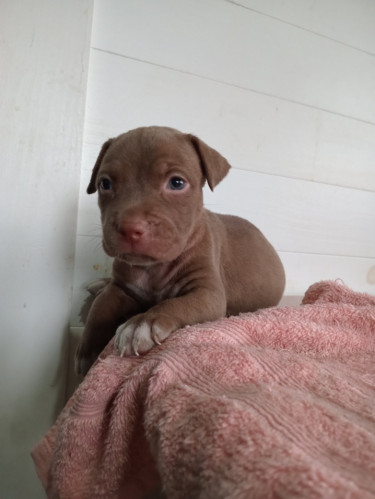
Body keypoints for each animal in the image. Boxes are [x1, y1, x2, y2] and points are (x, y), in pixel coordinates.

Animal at [75, 126, 286, 376]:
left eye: (176, 183)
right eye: (105, 184)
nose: (130, 228)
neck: (153, 268)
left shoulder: (207, 293)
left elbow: (177, 303)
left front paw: (142, 323)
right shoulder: (121, 286)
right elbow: (100, 307)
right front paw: (87, 353)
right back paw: (100, 282)